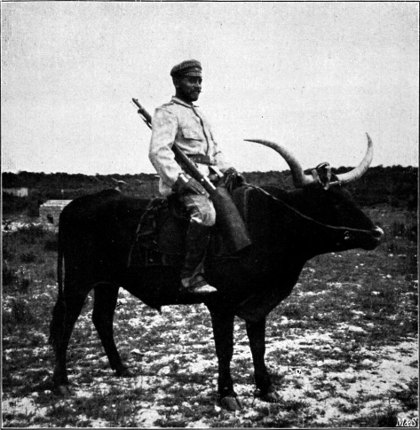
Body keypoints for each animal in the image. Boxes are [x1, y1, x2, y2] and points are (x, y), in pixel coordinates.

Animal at [49, 135, 384, 410]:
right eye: (332, 203)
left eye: (350, 197)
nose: (377, 233)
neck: (269, 223)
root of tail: (75, 205)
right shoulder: (221, 304)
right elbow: (225, 348)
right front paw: (227, 394)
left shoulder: (257, 304)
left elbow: (258, 345)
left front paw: (266, 389)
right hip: (77, 281)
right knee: (66, 322)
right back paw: (61, 382)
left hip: (108, 283)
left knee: (102, 319)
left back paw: (121, 369)